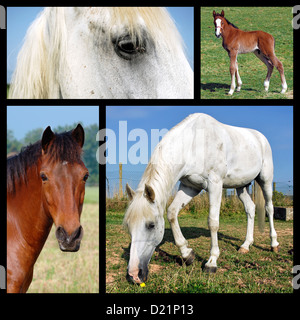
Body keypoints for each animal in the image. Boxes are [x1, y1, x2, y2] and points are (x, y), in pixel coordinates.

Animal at [124, 114, 278, 284]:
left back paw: (273, 244)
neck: (193, 143)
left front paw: (211, 262)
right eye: (128, 226)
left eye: (151, 225)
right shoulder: (189, 187)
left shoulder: (215, 184)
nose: (134, 275)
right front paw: (187, 254)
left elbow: (213, 222)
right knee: (250, 208)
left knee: (269, 208)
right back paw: (245, 246)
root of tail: (260, 137)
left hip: (265, 180)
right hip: (242, 185)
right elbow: (172, 213)